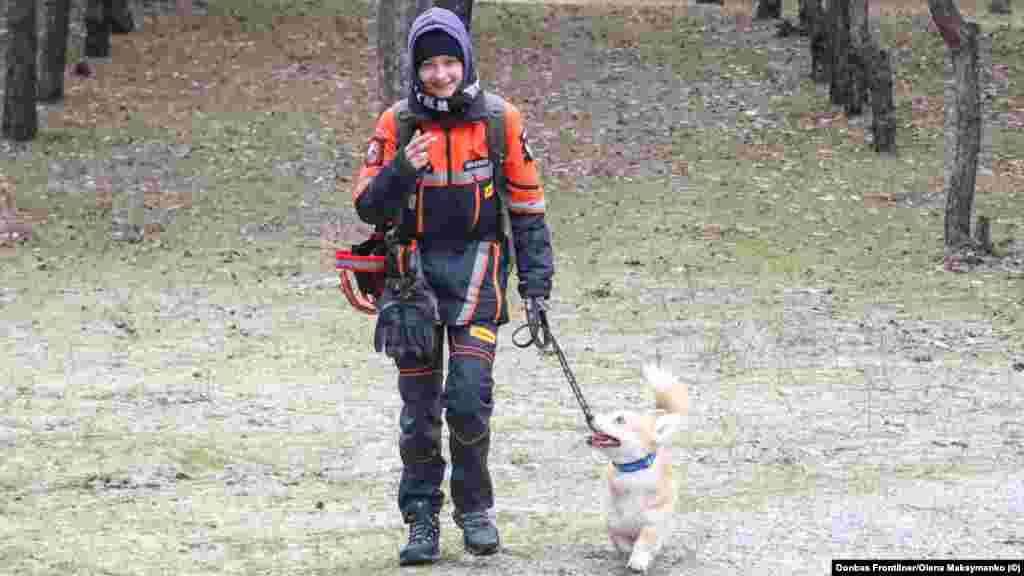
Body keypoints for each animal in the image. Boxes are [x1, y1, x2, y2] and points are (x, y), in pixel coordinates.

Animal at [585, 360, 688, 569]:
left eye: (619, 419)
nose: (589, 416)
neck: (631, 471)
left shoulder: (652, 522)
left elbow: (644, 542)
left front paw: (638, 561)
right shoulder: (614, 522)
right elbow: (621, 540)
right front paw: (627, 553)